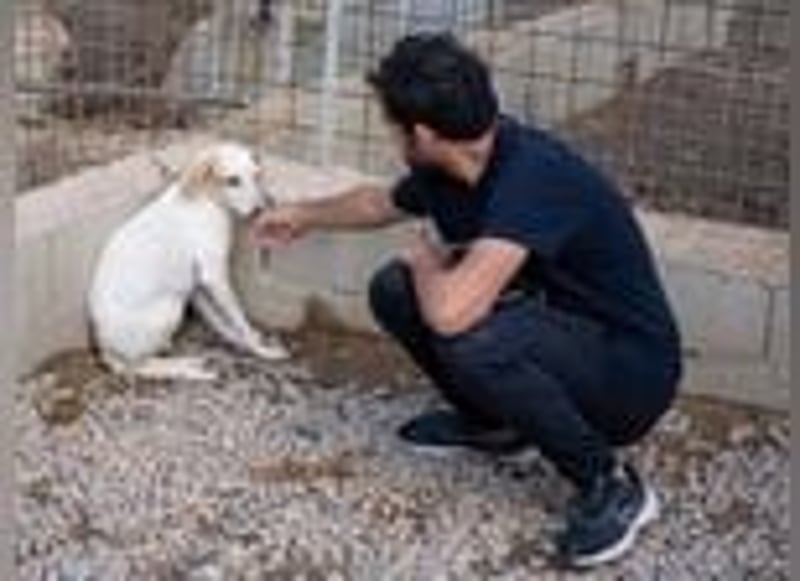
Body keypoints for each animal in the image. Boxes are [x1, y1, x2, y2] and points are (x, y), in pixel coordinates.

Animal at [88, 142, 288, 381]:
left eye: (257, 175)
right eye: (232, 180)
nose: (261, 210)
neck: (205, 198)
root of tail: (105, 349)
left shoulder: (196, 285)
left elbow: (220, 321)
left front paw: (243, 340)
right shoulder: (214, 276)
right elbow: (237, 316)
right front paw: (259, 348)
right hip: (170, 308)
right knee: (139, 366)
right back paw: (189, 366)